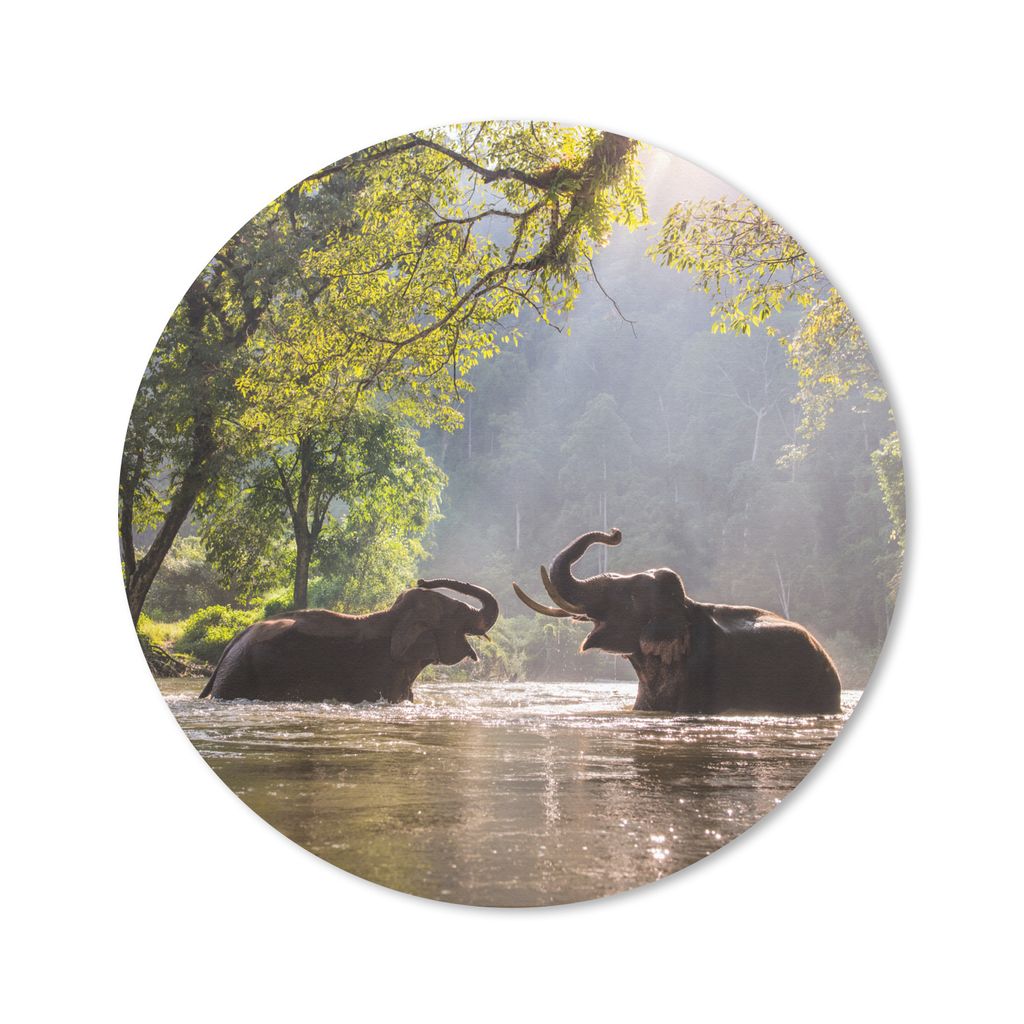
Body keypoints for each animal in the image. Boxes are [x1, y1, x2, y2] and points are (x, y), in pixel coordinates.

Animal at [198, 578, 499, 702]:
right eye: (458, 612)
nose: (422, 580)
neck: (393, 616)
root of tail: (232, 644)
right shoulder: (380, 672)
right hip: (239, 676)